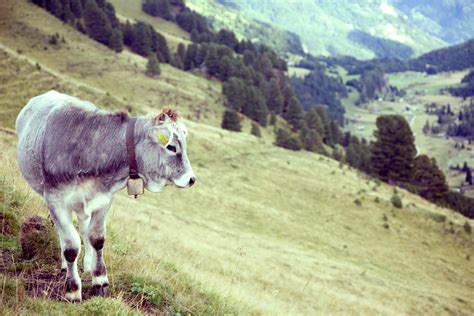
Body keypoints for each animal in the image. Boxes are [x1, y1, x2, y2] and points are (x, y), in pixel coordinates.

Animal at [16, 89, 194, 302]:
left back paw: (88, 262)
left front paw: (100, 280)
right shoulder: (55, 200)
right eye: (171, 147)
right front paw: (72, 289)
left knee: (83, 227)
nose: (191, 179)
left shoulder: (103, 199)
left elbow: (97, 238)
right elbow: (70, 246)